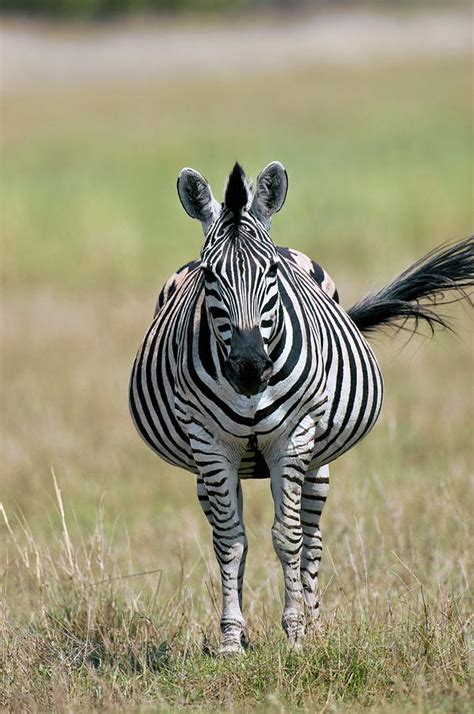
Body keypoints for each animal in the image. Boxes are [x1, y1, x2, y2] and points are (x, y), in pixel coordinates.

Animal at [130, 160, 474, 652]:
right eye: (210, 276)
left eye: (271, 270)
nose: (250, 366)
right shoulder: (209, 443)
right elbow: (230, 540)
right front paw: (231, 639)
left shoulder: (293, 438)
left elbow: (288, 536)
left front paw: (294, 632)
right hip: (208, 467)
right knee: (228, 529)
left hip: (316, 460)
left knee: (311, 536)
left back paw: (313, 622)